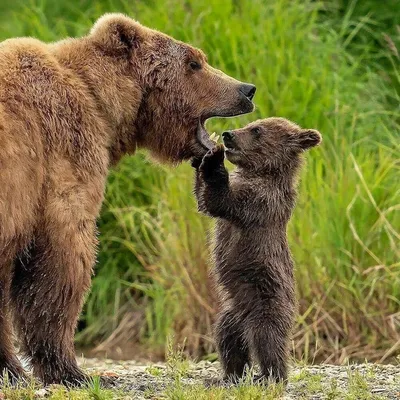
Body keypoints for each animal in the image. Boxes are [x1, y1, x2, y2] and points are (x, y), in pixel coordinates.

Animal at [0, 14, 256, 386]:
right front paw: (72, 371)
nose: (246, 90)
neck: (100, 102)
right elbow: (61, 258)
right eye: (194, 62)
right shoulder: (58, 155)